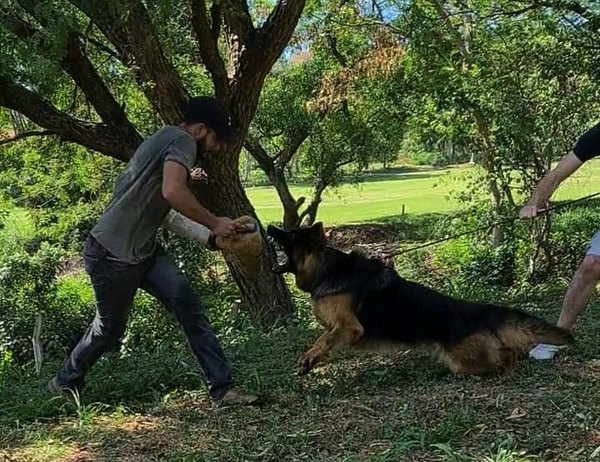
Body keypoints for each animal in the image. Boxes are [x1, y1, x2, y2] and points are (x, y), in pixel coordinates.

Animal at [268, 222, 572, 378]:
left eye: (290, 234)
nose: (268, 226)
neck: (326, 269)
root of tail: (475, 309)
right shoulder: (337, 328)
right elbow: (326, 341)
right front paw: (317, 360)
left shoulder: (348, 326)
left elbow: (323, 340)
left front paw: (309, 358)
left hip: (465, 361)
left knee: (505, 355)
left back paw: (508, 368)